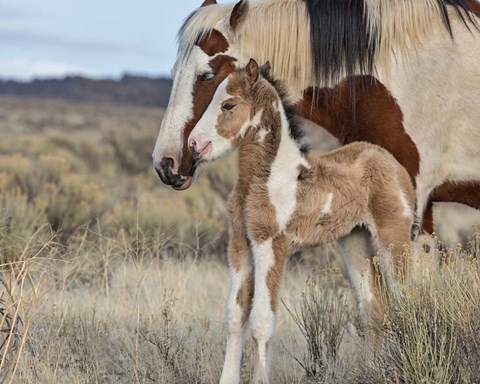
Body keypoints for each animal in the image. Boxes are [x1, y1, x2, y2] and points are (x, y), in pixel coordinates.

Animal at [188, 60, 416, 384]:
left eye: (228, 104)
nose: (195, 144)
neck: (267, 179)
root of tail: (390, 161)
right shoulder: (240, 244)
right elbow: (234, 316)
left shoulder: (272, 245)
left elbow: (262, 321)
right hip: (354, 239)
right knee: (372, 305)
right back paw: (370, 371)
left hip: (393, 237)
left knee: (407, 300)